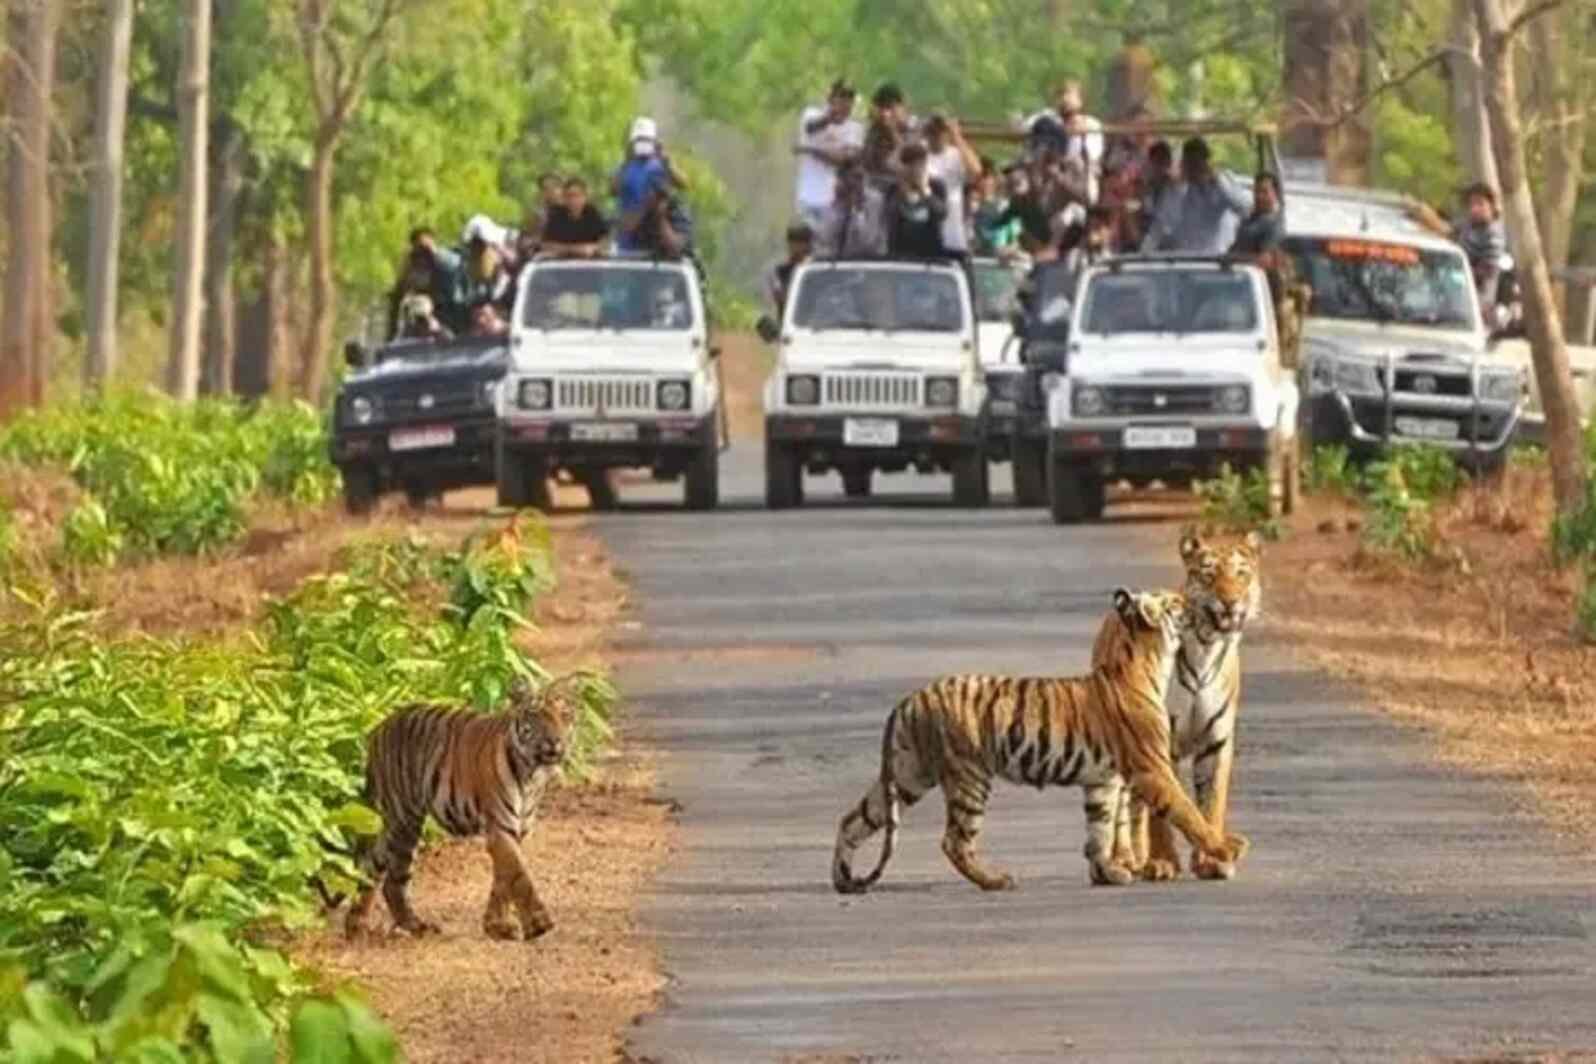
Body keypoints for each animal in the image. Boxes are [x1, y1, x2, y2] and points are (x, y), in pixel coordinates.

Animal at [1091, 529, 1264, 886]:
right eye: (1209, 575)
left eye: (1241, 574)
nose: (1231, 601)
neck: (1207, 647)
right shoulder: (1160, 741)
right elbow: (1163, 812)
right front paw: (1162, 862)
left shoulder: (1216, 742)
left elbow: (1210, 805)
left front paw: (1212, 861)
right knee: (1124, 804)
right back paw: (1125, 859)